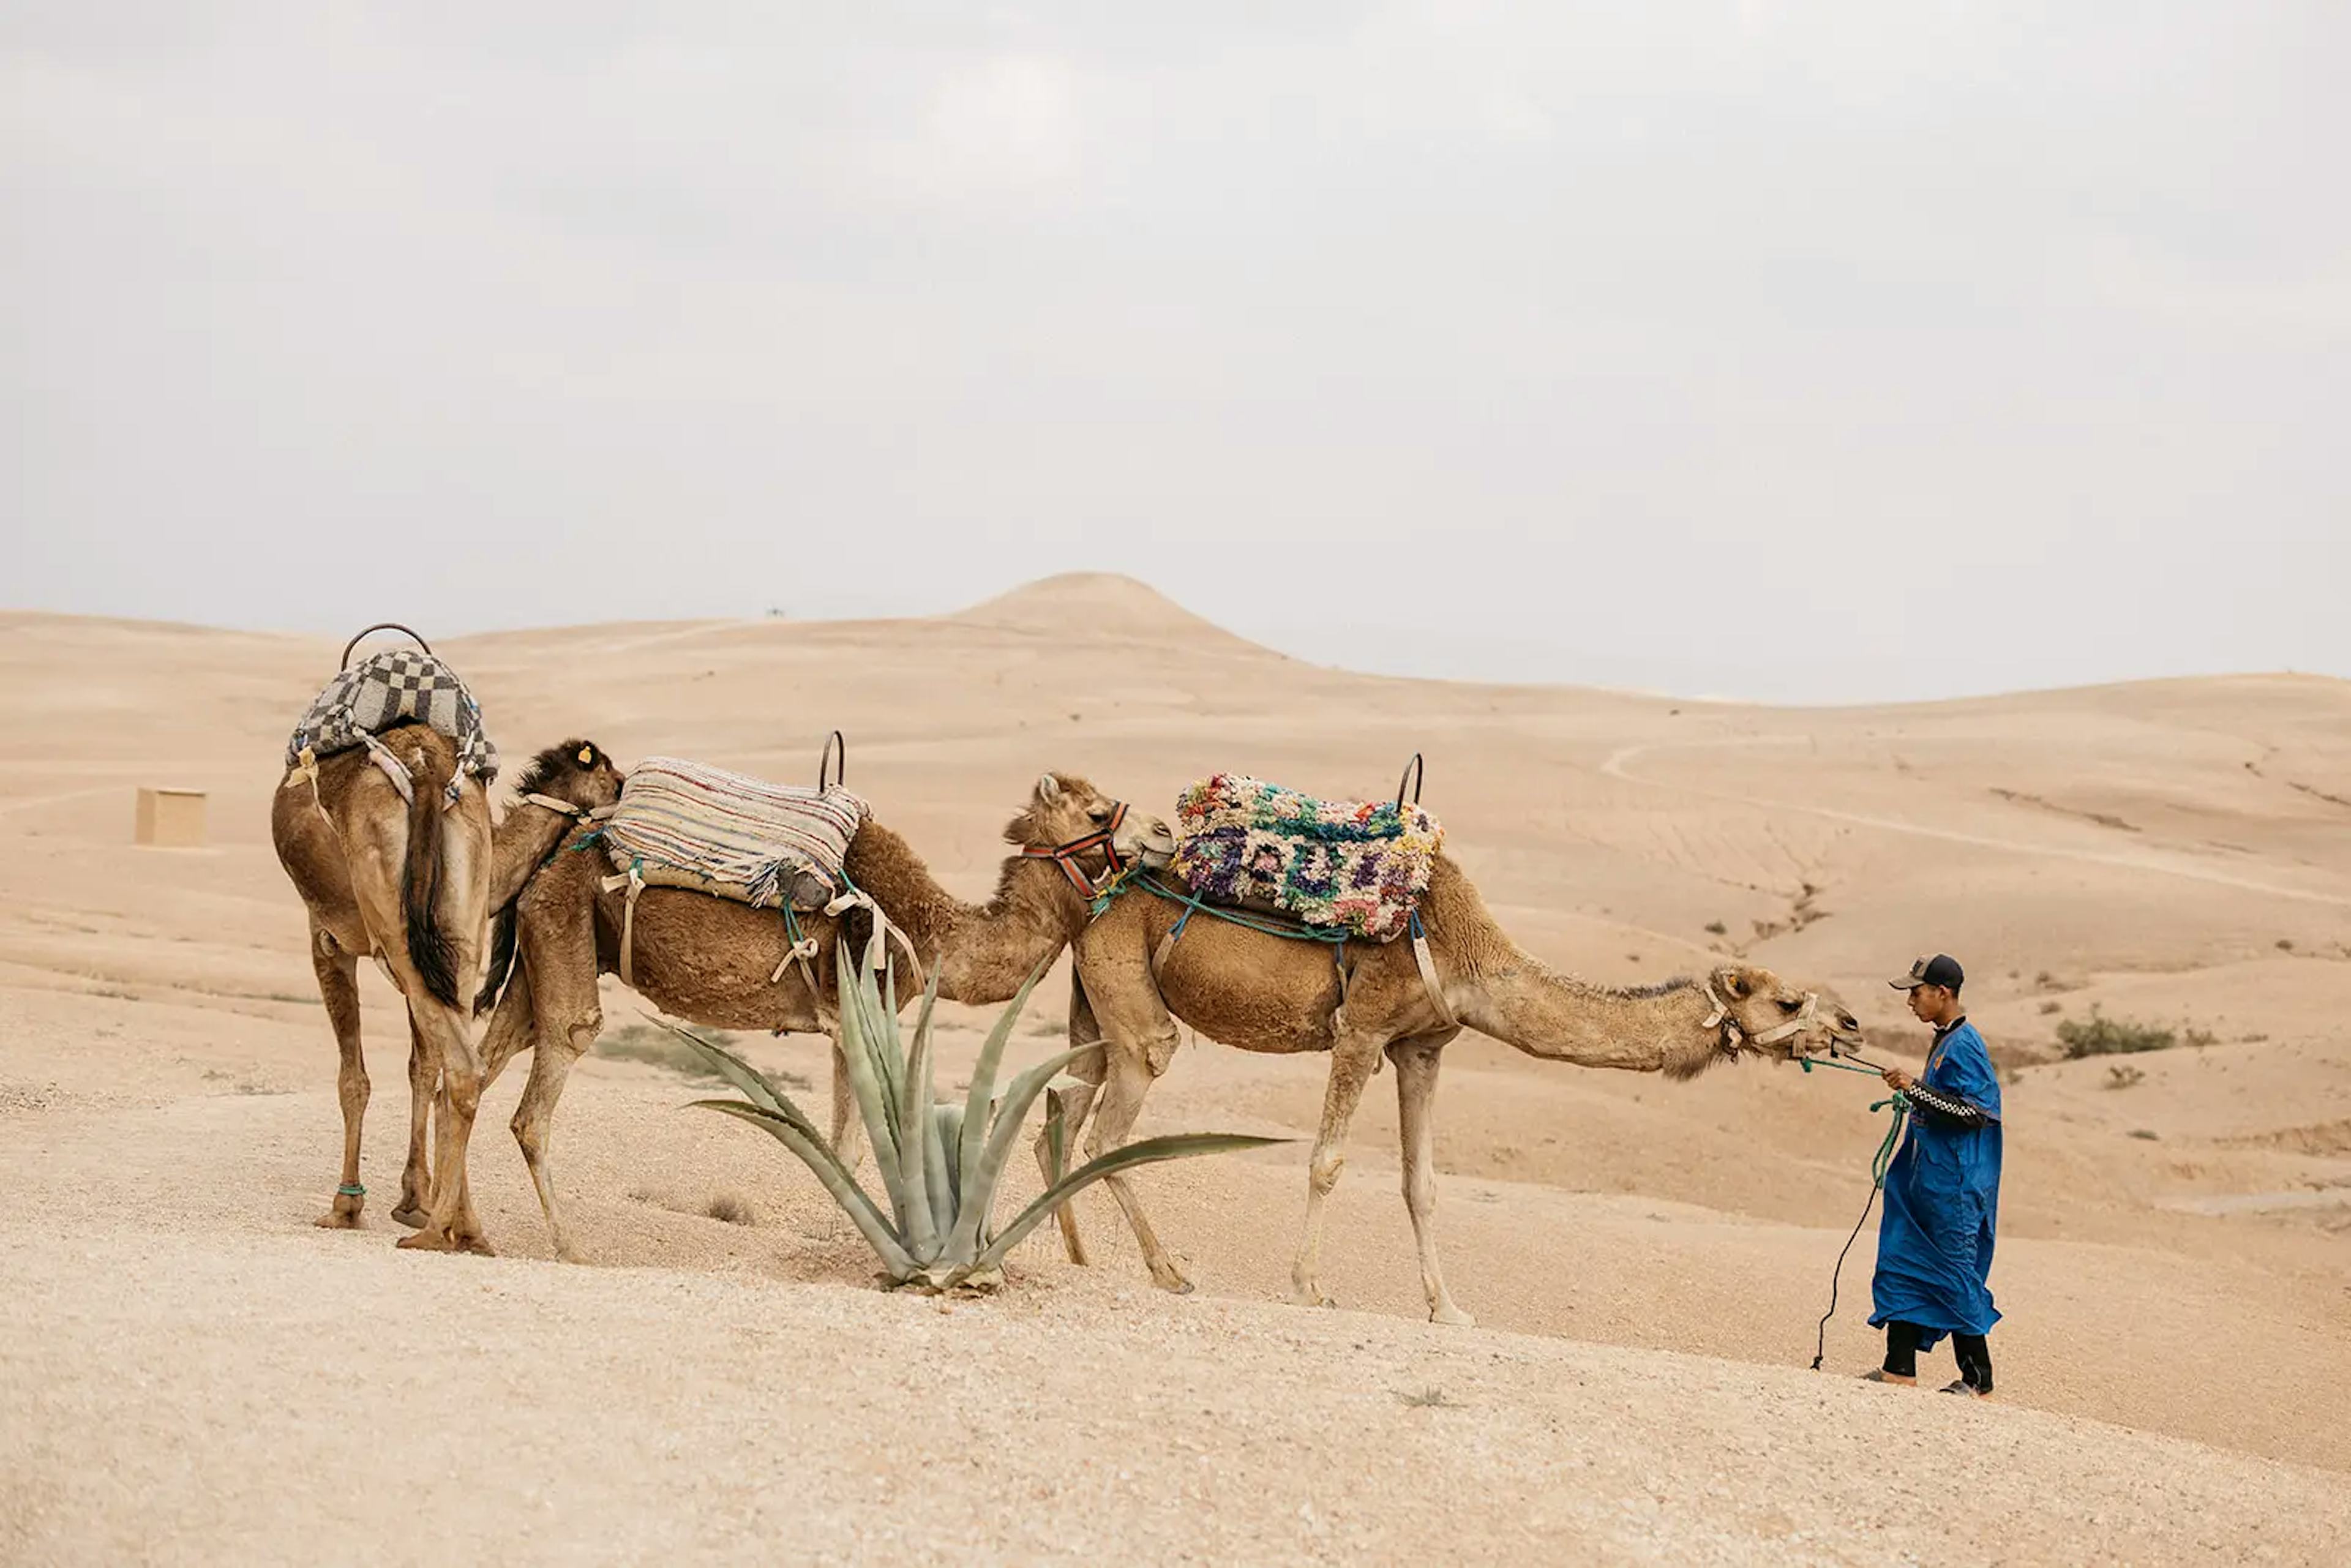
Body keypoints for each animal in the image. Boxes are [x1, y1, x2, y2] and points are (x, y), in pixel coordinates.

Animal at [269, 724, 496, 1250]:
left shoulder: (327, 939)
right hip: (460, 929)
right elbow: (421, 1066)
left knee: (461, 1064)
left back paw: (436, 1233)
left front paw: (346, 1206)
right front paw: (415, 1197)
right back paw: (466, 1227)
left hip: (395, 928)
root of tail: (424, 767)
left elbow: (353, 1079)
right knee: (460, 1062)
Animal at [463, 762, 1176, 1260]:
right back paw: (567, 1245)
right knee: (544, 1084)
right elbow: (854, 1145)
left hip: (544, 949)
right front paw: (850, 1238)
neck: (935, 933)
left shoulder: (845, 1023)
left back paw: (453, 1225)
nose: (1167, 833)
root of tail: (555, 851)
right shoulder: (862, 1006)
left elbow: (843, 1142)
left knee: (475, 1070)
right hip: (566, 926)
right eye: (1098, 809)